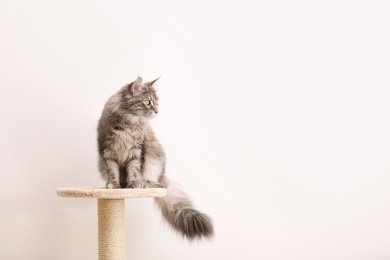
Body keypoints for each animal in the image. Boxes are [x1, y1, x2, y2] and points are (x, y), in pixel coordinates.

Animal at [96, 76, 213, 241]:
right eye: (147, 102)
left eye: (156, 102)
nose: (157, 111)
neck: (129, 122)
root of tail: (164, 176)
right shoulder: (107, 150)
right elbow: (112, 171)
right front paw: (113, 185)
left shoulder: (136, 152)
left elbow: (134, 170)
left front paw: (134, 184)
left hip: (154, 158)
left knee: (159, 184)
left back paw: (144, 184)